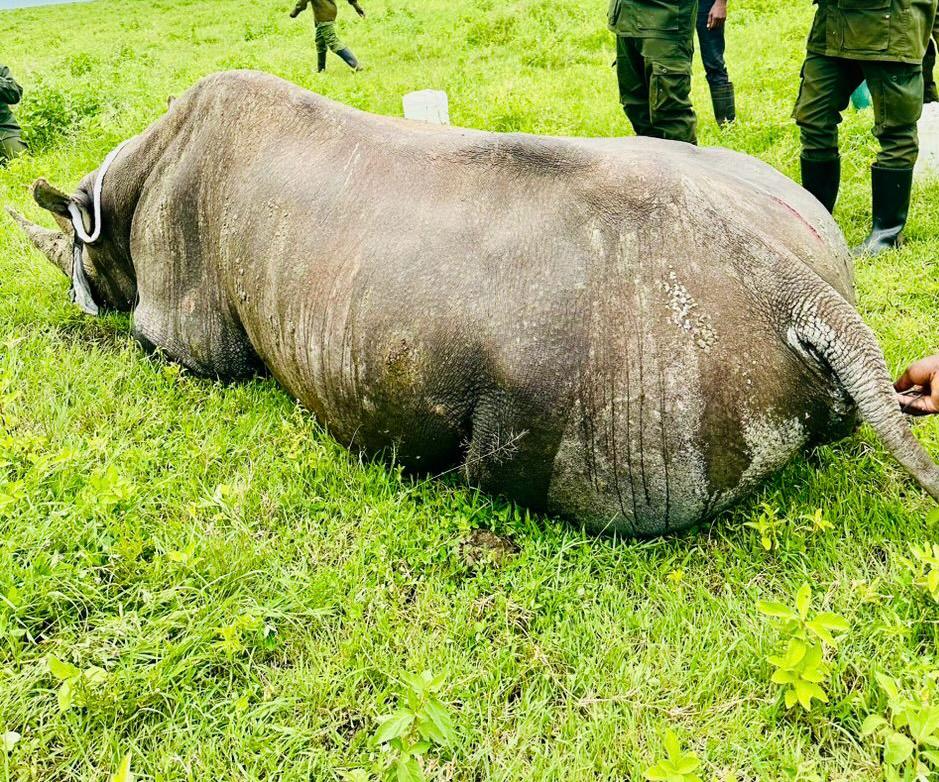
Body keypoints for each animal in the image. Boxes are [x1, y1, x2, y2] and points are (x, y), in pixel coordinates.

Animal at [9, 70, 939, 535]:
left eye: (66, 260)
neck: (115, 198)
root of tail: (800, 290)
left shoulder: (181, 330)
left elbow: (151, 339)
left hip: (632, 363)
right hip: (767, 247)